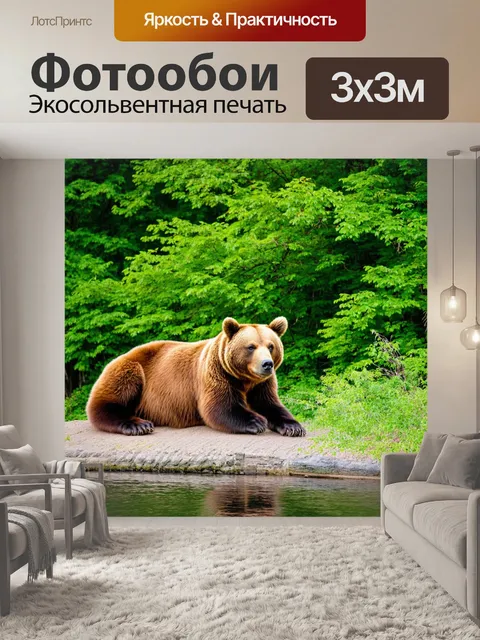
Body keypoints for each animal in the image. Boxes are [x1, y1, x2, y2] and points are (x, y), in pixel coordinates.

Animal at [86, 316, 306, 438]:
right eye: (251, 347)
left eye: (271, 346)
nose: (267, 364)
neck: (244, 379)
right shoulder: (215, 374)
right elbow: (219, 407)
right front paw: (256, 421)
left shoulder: (261, 384)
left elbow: (271, 404)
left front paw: (293, 427)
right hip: (132, 369)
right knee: (111, 398)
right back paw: (138, 425)